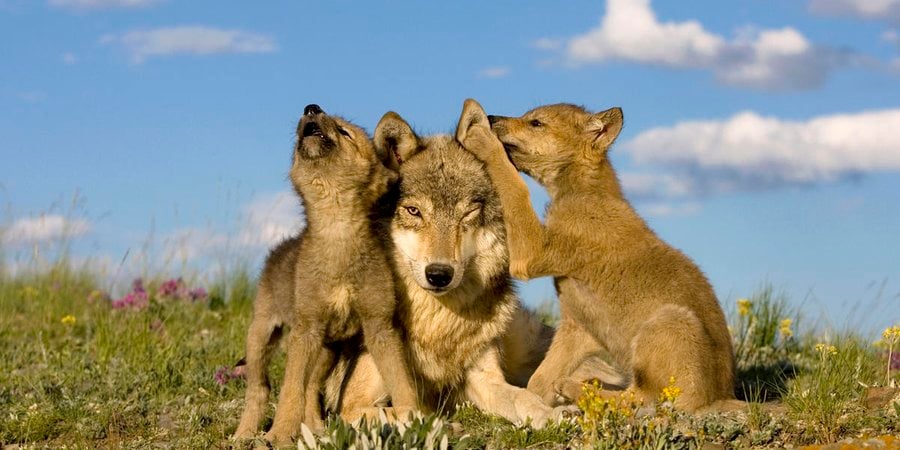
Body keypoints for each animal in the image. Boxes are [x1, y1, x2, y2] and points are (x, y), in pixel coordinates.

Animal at [232, 104, 418, 444]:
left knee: (310, 387)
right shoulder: (306, 329)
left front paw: (414, 418)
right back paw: (245, 433)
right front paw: (279, 435)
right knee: (260, 388)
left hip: (327, 350)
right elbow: (289, 391)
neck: (337, 228)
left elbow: (401, 383)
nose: (311, 107)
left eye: (344, 131)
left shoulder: (380, 327)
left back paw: (315, 429)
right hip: (262, 336)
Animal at [322, 108, 615, 427]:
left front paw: (551, 415)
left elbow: (523, 397)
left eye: (468, 213)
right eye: (414, 211)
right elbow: (410, 410)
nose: (439, 274)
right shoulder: (351, 405)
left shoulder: (486, 379)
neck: (438, 324)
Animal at [456, 99, 738, 412]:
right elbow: (537, 381)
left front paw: (481, 139)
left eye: (536, 123)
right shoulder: (578, 326)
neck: (581, 192)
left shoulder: (532, 253)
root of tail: (720, 396)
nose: (492, 117)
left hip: (670, 320)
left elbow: (514, 186)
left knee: (644, 398)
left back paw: (577, 387)